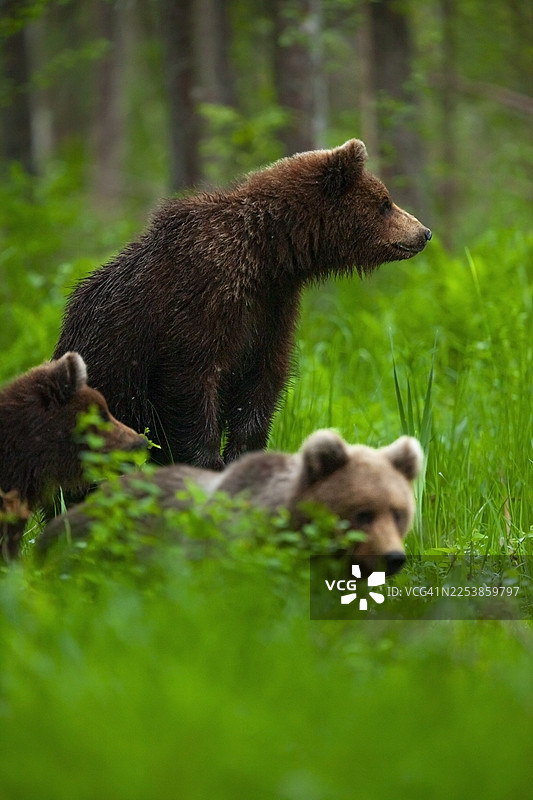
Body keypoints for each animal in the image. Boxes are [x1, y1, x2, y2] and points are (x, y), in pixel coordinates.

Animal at [53, 139, 431, 469]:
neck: (270, 256)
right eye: (385, 203)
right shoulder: (201, 299)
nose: (424, 232)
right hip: (106, 375)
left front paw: (242, 453)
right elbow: (191, 381)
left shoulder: (272, 309)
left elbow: (261, 383)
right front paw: (208, 461)